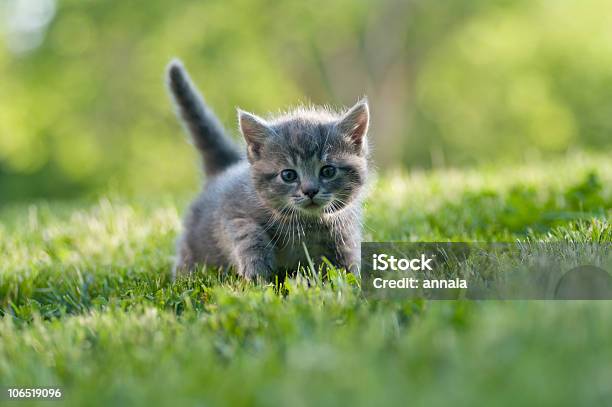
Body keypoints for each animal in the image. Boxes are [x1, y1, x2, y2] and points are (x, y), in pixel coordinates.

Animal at [165, 60, 370, 282]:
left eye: (328, 171)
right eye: (288, 175)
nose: (310, 191)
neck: (306, 225)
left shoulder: (345, 230)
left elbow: (346, 260)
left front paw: (348, 279)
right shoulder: (232, 214)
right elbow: (247, 234)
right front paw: (257, 270)